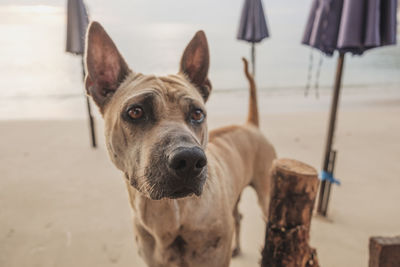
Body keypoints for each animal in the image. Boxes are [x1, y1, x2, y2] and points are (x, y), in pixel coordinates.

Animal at [83, 21, 278, 267]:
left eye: (197, 113)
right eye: (136, 112)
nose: (190, 160)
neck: (169, 213)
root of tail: (250, 124)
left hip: (268, 195)